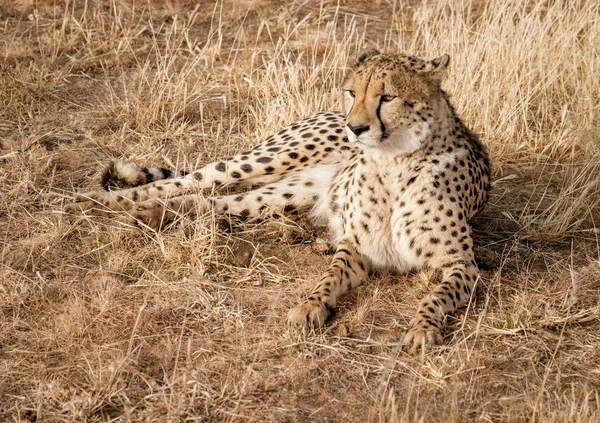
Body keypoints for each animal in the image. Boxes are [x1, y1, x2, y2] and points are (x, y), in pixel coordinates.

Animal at [69, 49, 492, 354]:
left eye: (388, 96)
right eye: (353, 93)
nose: (354, 128)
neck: (393, 161)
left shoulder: (462, 265)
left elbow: (435, 296)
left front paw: (422, 328)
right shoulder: (353, 247)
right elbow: (328, 276)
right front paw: (310, 306)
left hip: (281, 196)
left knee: (205, 202)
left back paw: (149, 214)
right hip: (266, 160)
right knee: (193, 179)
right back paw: (96, 199)